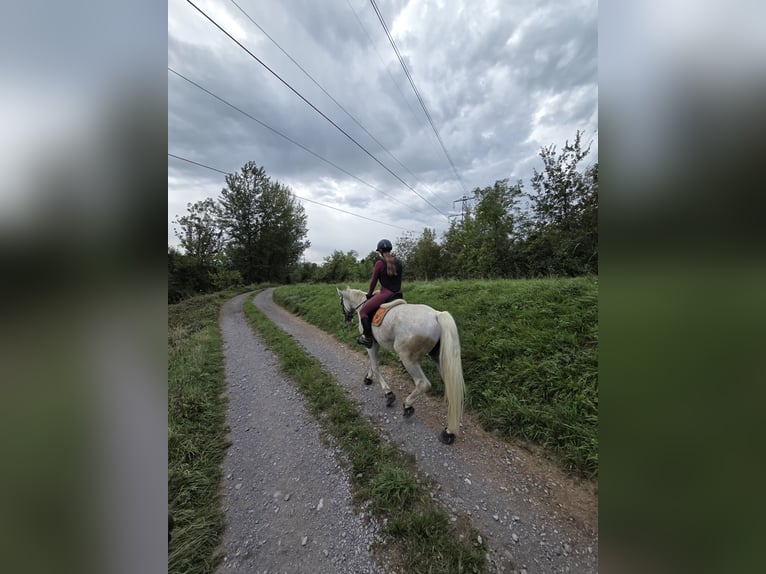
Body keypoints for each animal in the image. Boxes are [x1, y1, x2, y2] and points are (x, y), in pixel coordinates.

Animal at [336, 286, 465, 444]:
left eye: (341, 301)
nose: (346, 318)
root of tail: (436, 315)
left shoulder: (371, 343)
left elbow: (375, 366)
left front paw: (388, 393)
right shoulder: (374, 344)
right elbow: (371, 364)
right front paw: (368, 377)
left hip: (407, 358)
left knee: (423, 384)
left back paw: (408, 405)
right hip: (439, 359)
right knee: (451, 386)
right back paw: (449, 431)